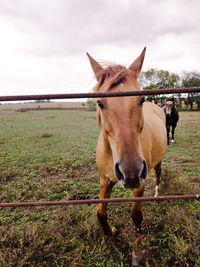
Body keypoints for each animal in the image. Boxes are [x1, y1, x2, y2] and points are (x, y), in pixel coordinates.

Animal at [87, 48, 167, 237]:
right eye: (99, 103)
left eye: (141, 99)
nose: (131, 172)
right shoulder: (104, 179)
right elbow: (100, 212)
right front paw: (111, 232)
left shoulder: (140, 184)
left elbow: (136, 214)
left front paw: (138, 231)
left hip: (158, 161)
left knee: (159, 174)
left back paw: (157, 195)